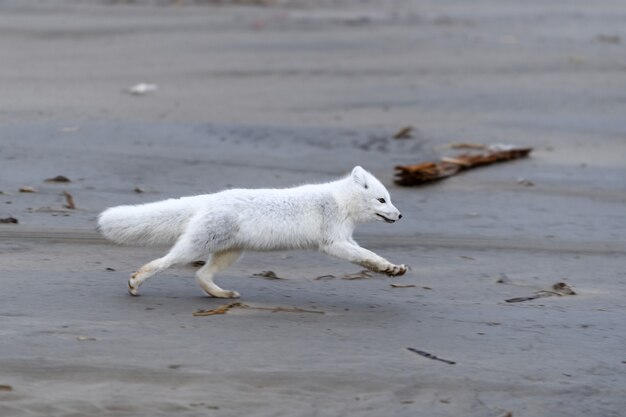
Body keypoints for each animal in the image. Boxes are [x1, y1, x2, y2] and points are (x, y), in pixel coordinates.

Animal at [98, 164, 404, 298]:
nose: (400, 215)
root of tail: (209, 199)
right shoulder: (333, 242)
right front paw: (389, 268)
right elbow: (367, 256)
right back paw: (135, 282)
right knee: (164, 262)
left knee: (200, 276)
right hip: (195, 247)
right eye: (382, 200)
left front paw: (392, 269)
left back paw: (222, 295)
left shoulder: (344, 239)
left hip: (230, 253)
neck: (340, 202)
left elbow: (367, 256)